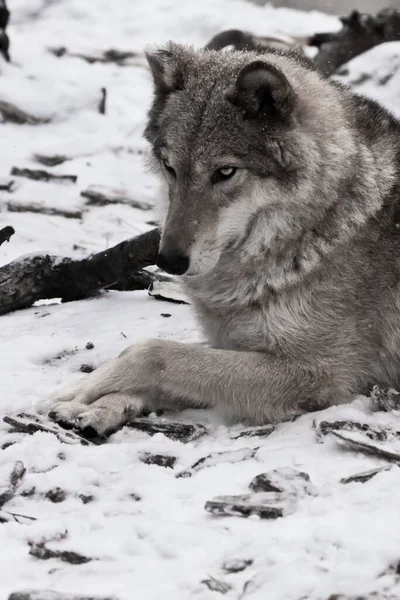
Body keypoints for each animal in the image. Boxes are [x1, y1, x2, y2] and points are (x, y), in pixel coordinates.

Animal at [35, 43, 400, 436]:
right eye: (170, 168)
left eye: (225, 172)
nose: (169, 261)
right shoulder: (236, 346)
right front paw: (96, 406)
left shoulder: (316, 374)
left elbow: (151, 353)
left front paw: (75, 391)